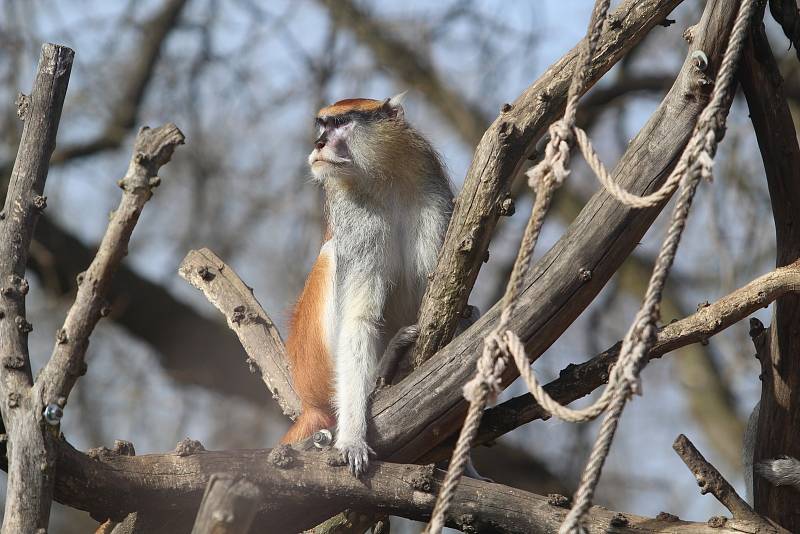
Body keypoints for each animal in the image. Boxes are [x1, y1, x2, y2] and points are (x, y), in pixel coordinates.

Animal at [280, 94, 456, 476]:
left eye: (341, 123)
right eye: (322, 125)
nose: (318, 143)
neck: (384, 179)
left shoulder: (432, 201)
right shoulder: (358, 221)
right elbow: (358, 321)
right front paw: (352, 440)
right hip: (319, 371)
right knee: (331, 254)